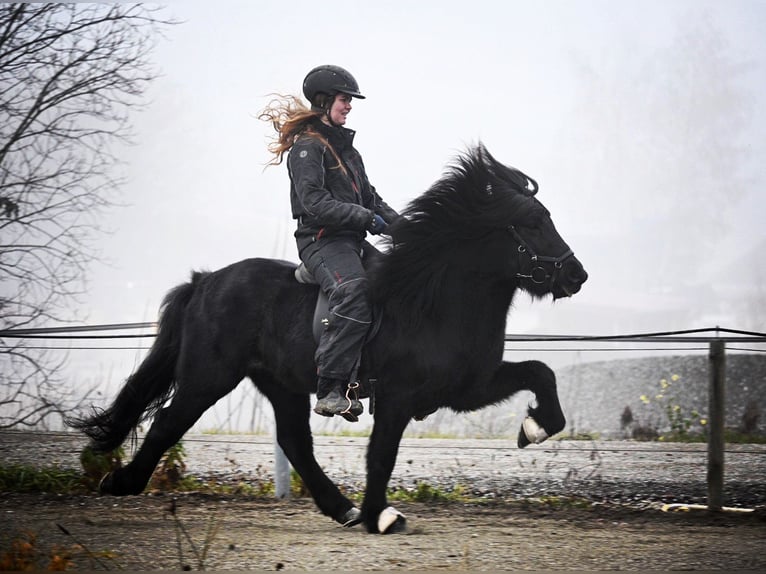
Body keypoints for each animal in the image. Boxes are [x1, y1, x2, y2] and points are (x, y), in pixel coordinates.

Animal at [68, 144, 588, 534]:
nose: (577, 275)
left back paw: (342, 508)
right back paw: (120, 482)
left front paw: (535, 428)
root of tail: (206, 281)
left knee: (295, 442)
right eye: (534, 222)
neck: (431, 300)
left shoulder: (468, 387)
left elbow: (541, 373)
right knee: (168, 423)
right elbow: (382, 454)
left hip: (281, 385)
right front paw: (382, 516)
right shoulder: (398, 396)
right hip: (208, 376)